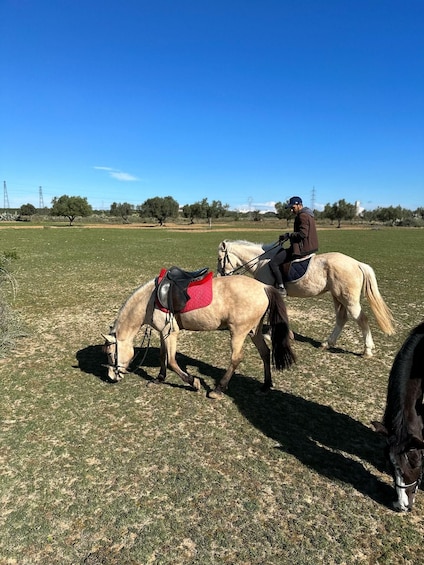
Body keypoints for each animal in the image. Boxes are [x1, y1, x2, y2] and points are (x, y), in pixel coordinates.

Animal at [102, 272, 294, 396]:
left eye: (111, 354)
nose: (111, 377)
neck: (150, 300)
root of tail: (264, 287)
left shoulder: (171, 333)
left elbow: (171, 361)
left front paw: (193, 382)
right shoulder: (164, 333)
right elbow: (163, 357)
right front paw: (159, 379)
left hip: (239, 332)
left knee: (236, 358)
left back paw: (218, 389)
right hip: (254, 331)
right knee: (265, 353)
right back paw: (266, 385)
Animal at [217, 239, 396, 356]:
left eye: (220, 259)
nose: (221, 276)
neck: (262, 262)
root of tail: (357, 263)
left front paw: (270, 335)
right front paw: (287, 334)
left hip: (348, 299)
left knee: (362, 319)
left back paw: (367, 350)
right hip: (337, 297)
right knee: (342, 318)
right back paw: (327, 343)